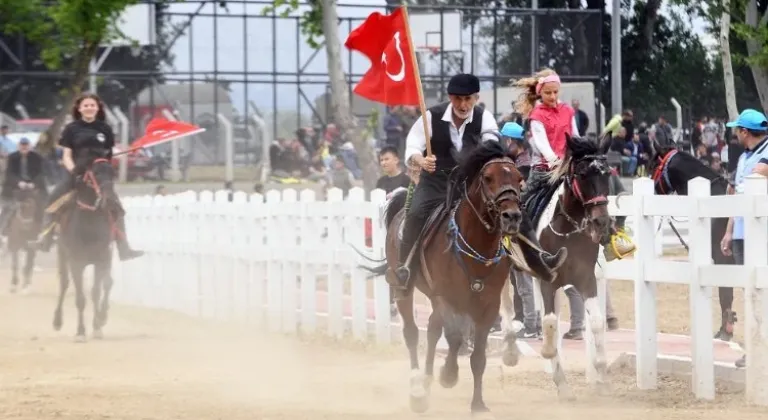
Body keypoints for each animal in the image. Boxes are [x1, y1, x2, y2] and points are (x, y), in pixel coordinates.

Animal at [53, 158, 118, 342]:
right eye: (95, 173)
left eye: (113, 172)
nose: (110, 201)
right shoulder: (76, 261)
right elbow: (80, 298)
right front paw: (81, 332)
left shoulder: (102, 258)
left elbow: (97, 291)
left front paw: (97, 326)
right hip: (62, 254)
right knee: (64, 284)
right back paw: (57, 321)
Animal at [364, 140, 524, 414]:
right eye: (488, 178)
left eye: (519, 178)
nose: (511, 216)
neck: (477, 245)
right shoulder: (447, 298)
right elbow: (455, 337)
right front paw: (448, 375)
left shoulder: (488, 305)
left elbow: (477, 355)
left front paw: (478, 404)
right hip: (405, 289)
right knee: (413, 332)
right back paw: (417, 388)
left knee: (432, 330)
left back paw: (427, 381)